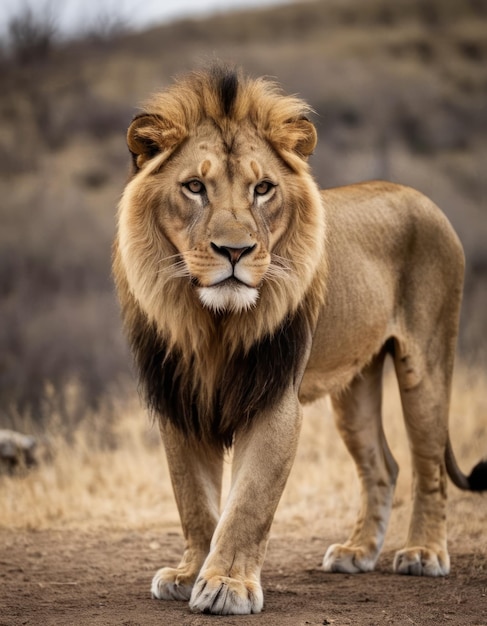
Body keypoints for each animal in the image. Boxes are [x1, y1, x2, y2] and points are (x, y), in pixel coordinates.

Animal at [112, 66, 486, 612]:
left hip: (428, 364)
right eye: (195, 186)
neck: (213, 323)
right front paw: (189, 571)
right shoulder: (179, 399)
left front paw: (227, 584)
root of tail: (419, 196)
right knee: (383, 465)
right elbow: (194, 501)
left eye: (263, 188)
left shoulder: (274, 398)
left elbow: (249, 501)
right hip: (354, 386)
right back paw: (357, 552)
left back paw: (423, 553)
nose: (235, 251)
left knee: (429, 464)